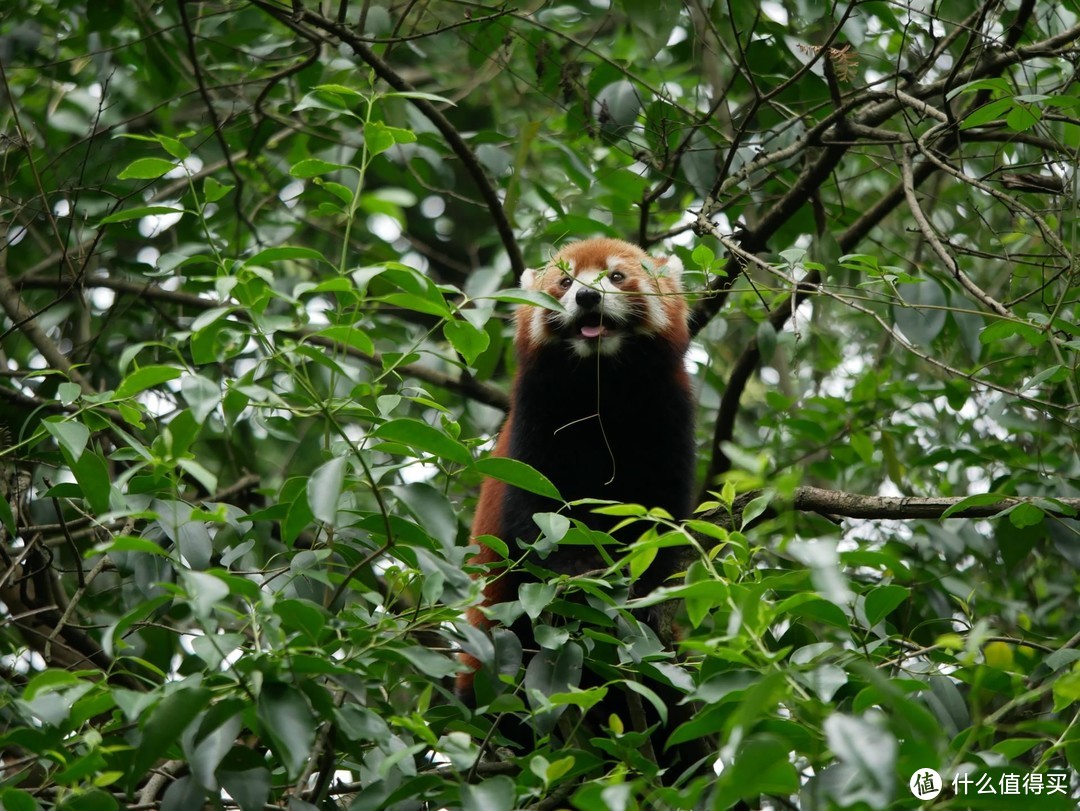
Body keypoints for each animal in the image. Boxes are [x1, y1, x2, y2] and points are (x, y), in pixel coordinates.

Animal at [457, 236, 695, 760]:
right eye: (565, 282)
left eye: (617, 276)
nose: (587, 297)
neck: (602, 386)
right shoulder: (534, 420)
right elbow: (535, 516)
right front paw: (580, 572)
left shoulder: (668, 417)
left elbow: (660, 523)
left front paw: (645, 593)